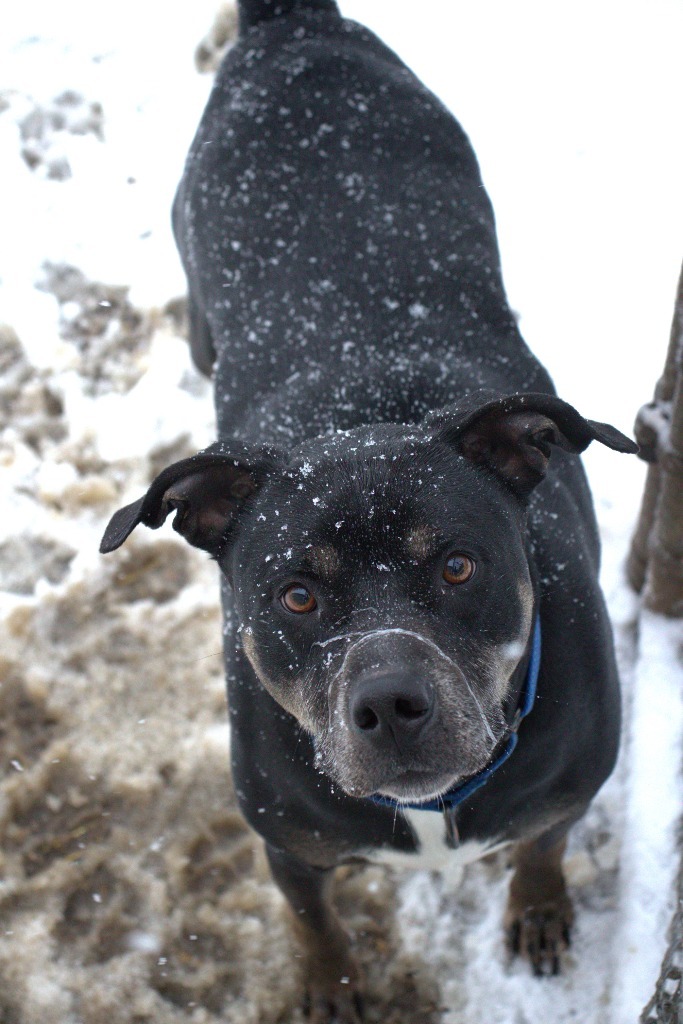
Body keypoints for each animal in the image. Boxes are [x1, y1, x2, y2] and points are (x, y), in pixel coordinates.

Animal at [100, 4, 634, 1019]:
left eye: (458, 565)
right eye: (296, 596)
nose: (390, 702)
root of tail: (293, 28)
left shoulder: (568, 788)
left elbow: (542, 848)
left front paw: (539, 910)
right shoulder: (289, 843)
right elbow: (311, 918)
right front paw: (330, 985)